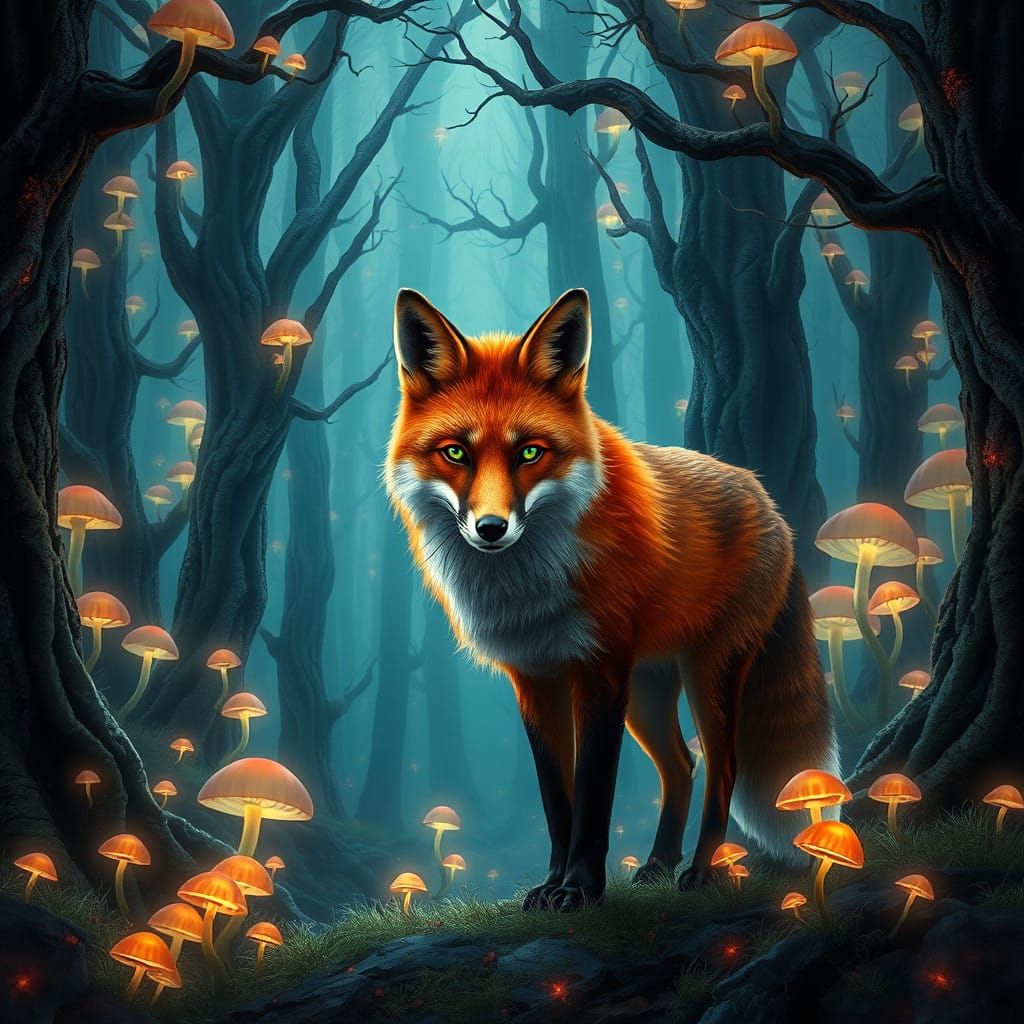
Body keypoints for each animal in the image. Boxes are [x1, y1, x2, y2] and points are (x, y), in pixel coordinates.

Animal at [386, 287, 836, 911]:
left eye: (530, 453)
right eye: (455, 453)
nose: (491, 528)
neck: (527, 592)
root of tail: (768, 498)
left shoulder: (599, 672)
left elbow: (594, 797)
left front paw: (580, 889)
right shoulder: (535, 677)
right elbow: (558, 800)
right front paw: (552, 883)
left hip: (708, 672)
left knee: (723, 767)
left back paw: (700, 871)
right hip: (647, 690)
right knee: (682, 765)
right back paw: (657, 864)